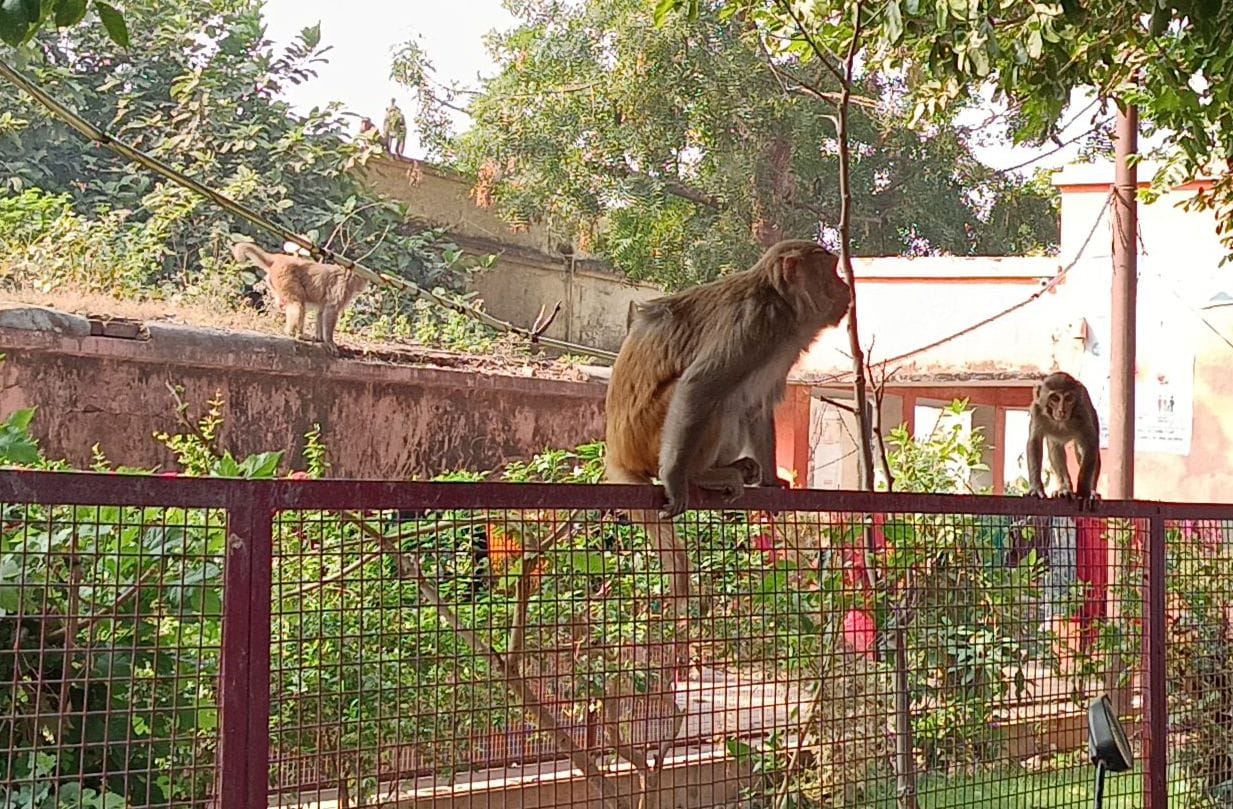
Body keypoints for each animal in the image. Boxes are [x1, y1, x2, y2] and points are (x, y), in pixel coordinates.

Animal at [231, 241, 368, 357]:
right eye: (362, 280)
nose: (363, 286)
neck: (348, 276)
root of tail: (278, 258)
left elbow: (321, 312)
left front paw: (320, 338)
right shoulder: (342, 288)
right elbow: (330, 311)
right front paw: (329, 342)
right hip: (285, 277)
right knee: (297, 304)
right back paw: (295, 334)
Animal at [604, 239, 850, 605]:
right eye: (831, 271)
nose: (846, 286)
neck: (782, 304)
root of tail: (616, 451)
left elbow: (757, 405)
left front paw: (771, 482)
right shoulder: (756, 324)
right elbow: (699, 385)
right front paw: (675, 479)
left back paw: (739, 468)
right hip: (649, 435)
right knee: (716, 398)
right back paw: (700, 474)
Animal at [1026, 371, 1102, 509]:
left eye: (1069, 399)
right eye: (1055, 399)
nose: (1062, 410)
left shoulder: (1082, 411)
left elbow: (1090, 444)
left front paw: (1084, 492)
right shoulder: (1036, 410)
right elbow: (1035, 442)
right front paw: (1036, 489)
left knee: (1083, 451)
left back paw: (1092, 491)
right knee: (1055, 448)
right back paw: (1065, 489)